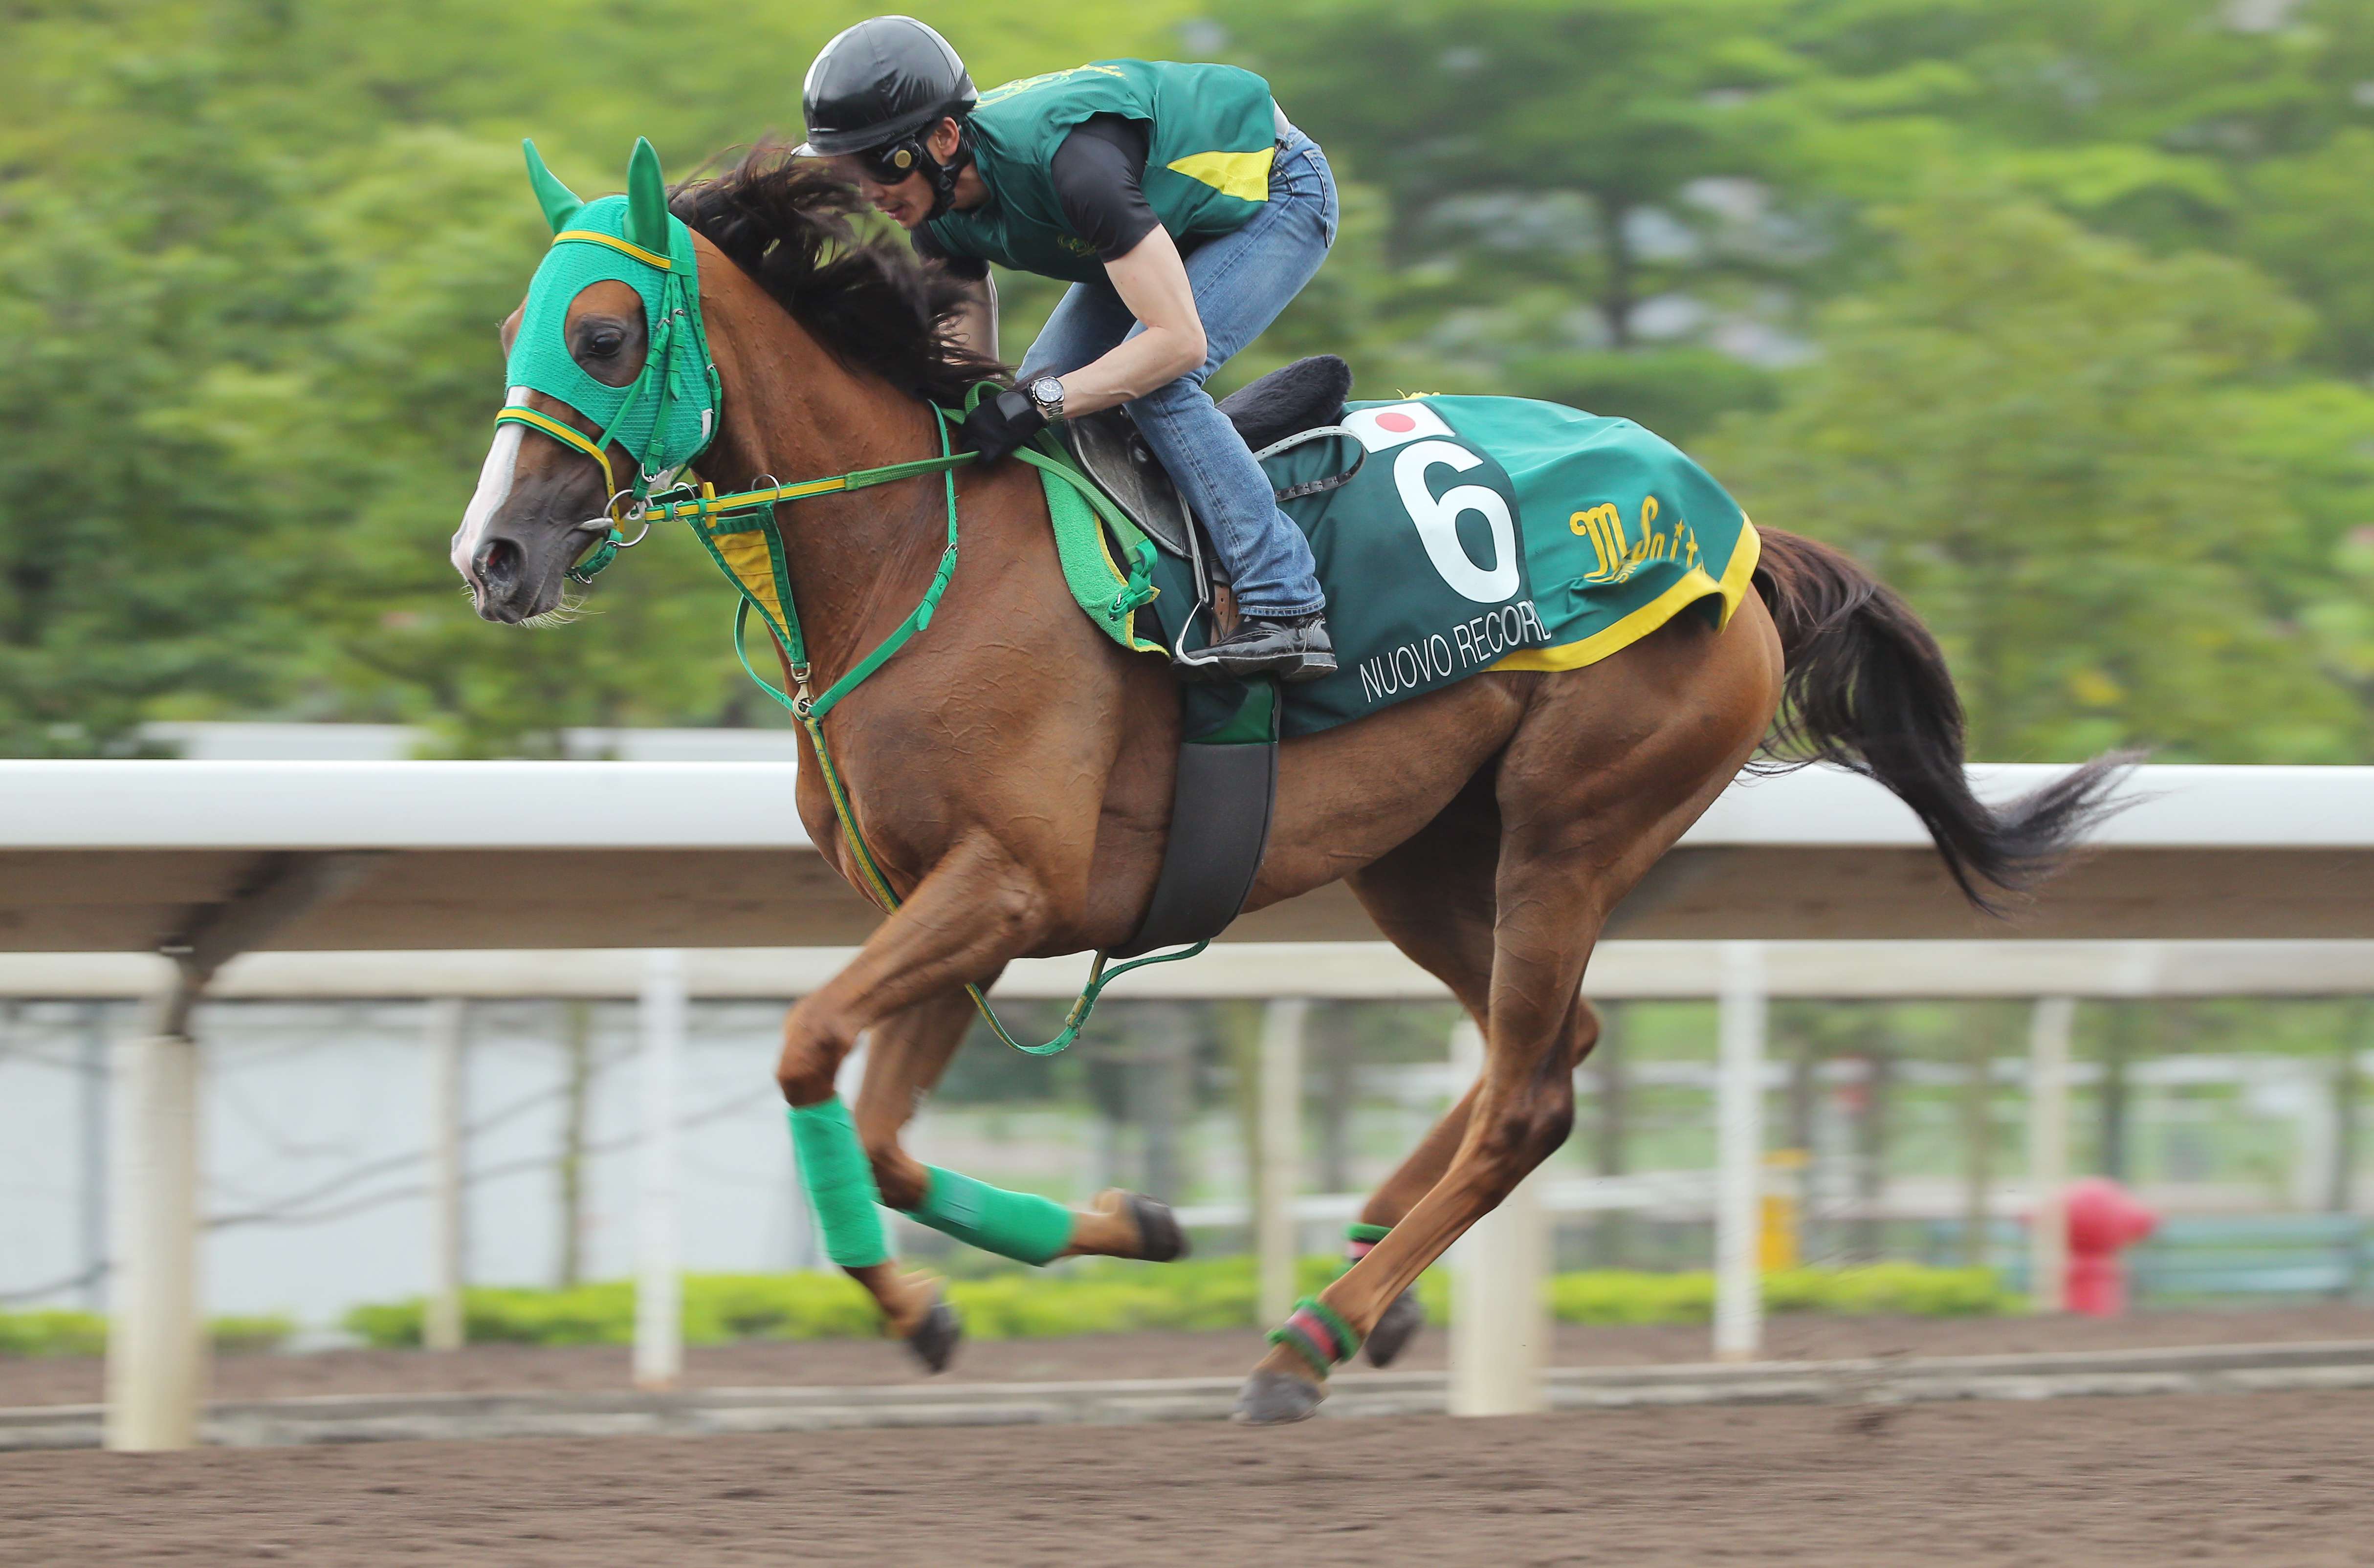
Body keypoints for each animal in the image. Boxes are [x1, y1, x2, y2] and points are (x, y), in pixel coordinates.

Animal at [453, 143, 2127, 1423]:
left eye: (603, 336)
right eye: (514, 326)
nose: (494, 558)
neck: (909, 550)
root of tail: (1741, 537)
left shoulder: (1005, 882)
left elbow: (805, 1049)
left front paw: (932, 1299)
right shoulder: (953, 905)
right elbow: (873, 1134)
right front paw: (1093, 1235)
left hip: (1571, 824)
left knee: (1532, 1095)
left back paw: (1313, 1337)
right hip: (1426, 858)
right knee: (1548, 1046)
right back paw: (1373, 1263)